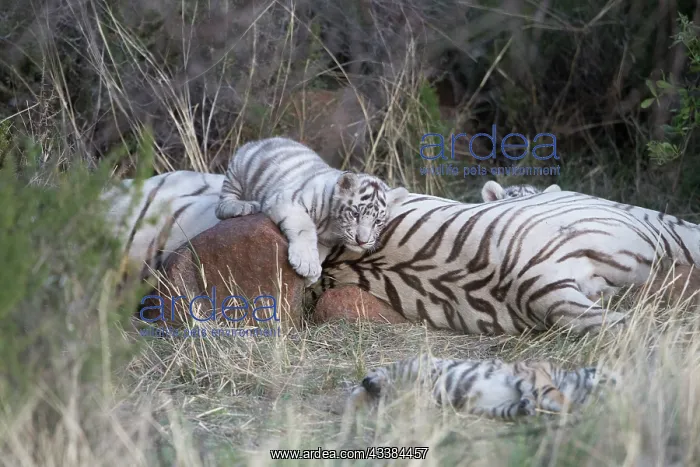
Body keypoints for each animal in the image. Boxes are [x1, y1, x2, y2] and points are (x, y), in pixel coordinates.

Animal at [215, 137, 409, 285]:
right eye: (355, 214)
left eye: (378, 222)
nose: (362, 241)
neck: (332, 225)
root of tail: (260, 141)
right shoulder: (288, 200)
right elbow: (304, 228)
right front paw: (307, 263)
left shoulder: (326, 241)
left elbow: (321, 252)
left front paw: (312, 275)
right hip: (238, 170)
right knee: (222, 205)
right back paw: (242, 206)